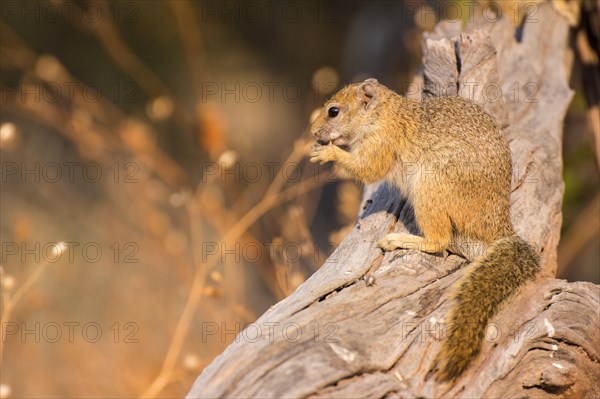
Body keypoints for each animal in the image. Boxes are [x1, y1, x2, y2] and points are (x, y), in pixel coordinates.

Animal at [312, 77, 540, 382]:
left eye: (333, 111)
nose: (313, 132)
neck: (382, 115)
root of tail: (497, 226)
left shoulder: (381, 143)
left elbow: (368, 170)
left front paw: (327, 152)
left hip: (430, 187)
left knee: (439, 241)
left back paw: (400, 239)